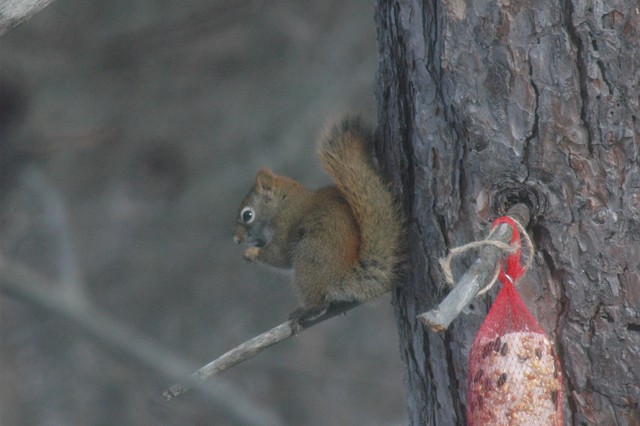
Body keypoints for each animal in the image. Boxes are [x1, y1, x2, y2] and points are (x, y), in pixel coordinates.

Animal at [233, 117, 404, 322]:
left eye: (247, 215)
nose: (236, 240)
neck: (282, 203)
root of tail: (343, 275)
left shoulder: (286, 224)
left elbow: (279, 255)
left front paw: (252, 253)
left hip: (307, 263)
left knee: (318, 303)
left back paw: (305, 312)